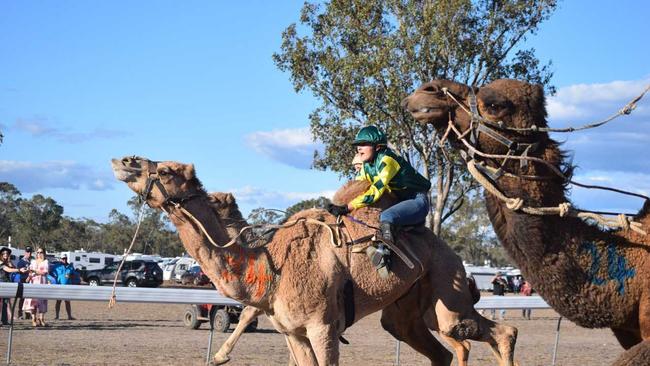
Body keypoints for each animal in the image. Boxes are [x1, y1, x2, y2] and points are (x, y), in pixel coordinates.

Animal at [112, 156, 456, 364]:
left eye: (166, 171)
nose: (124, 160)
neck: (271, 264)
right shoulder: (292, 331)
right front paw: (219, 356)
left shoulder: (323, 326)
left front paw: (219, 356)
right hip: (404, 310)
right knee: (438, 351)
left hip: (445, 283)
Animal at [208, 182, 516, 364]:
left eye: (214, 202)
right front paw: (220, 355)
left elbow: (248, 313)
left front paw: (219, 356)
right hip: (412, 310)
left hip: (447, 293)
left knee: (494, 333)